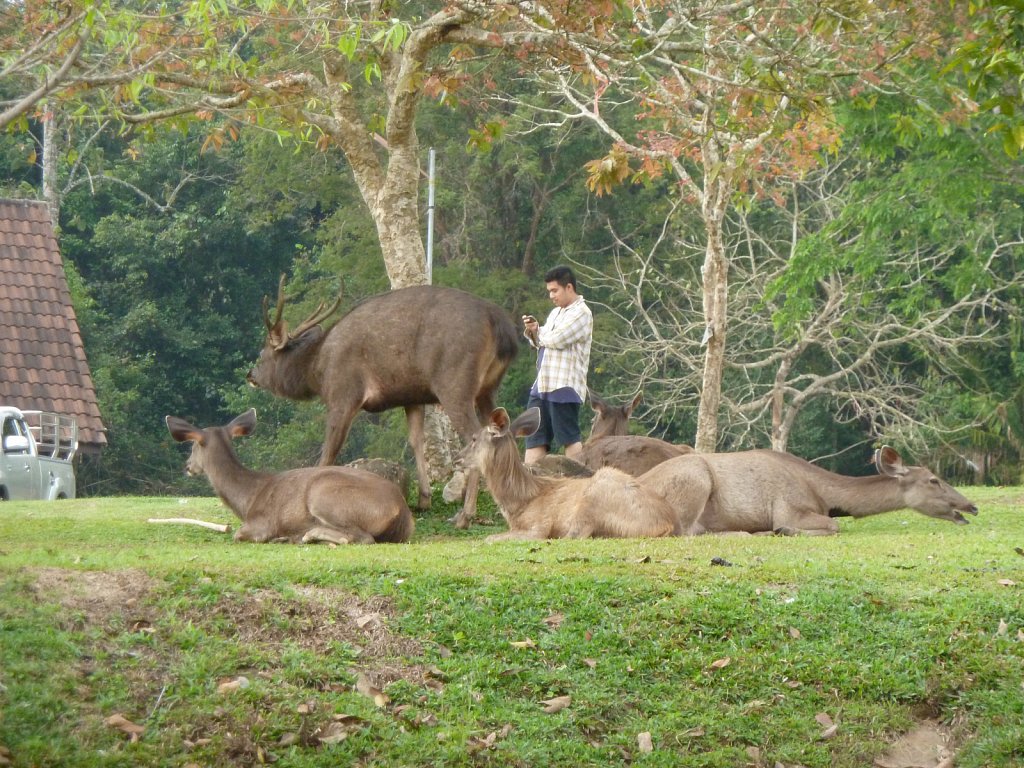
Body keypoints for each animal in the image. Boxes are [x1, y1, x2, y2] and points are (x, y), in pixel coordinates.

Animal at [163, 411, 411, 544]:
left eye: (192, 446)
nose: (187, 466)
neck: (247, 498)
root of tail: (401, 509)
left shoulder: (260, 523)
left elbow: (238, 535)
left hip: (324, 495)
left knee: (359, 537)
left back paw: (307, 535)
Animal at [246, 274, 520, 532]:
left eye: (262, 354)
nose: (250, 375)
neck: (317, 371)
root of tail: (503, 329)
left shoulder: (344, 393)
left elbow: (329, 451)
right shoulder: (413, 396)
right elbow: (416, 440)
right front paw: (424, 499)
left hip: (455, 383)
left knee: (476, 435)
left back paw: (465, 516)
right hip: (487, 389)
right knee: (505, 432)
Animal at [464, 405, 679, 544]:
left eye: (474, 439)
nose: (458, 458)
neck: (520, 502)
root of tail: (666, 525)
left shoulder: (539, 524)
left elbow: (490, 538)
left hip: (595, 494)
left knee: (575, 535)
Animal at [634, 448, 978, 536]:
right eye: (934, 480)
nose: (971, 507)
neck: (824, 493)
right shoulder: (789, 507)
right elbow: (834, 525)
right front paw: (784, 530)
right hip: (695, 479)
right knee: (686, 531)